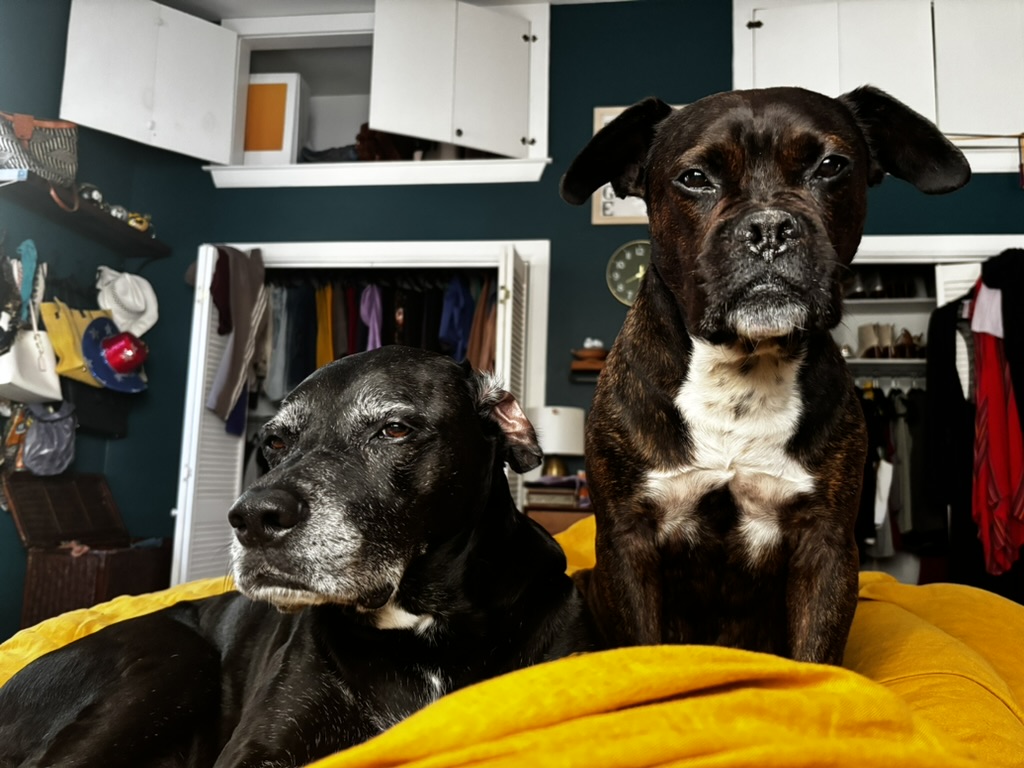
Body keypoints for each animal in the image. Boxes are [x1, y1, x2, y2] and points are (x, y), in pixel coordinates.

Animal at [0, 345, 594, 767]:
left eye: (394, 428)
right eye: (277, 442)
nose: (251, 518)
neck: (419, 623)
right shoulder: (257, 750)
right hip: (172, 662)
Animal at [560, 86, 970, 664]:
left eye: (830, 166)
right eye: (694, 177)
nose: (769, 227)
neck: (741, 368)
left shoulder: (825, 546)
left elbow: (816, 659)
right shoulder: (628, 542)